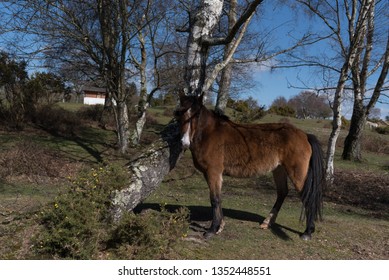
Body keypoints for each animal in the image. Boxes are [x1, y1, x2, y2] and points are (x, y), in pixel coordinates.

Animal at [174, 94, 324, 241]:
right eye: (180, 113)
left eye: (197, 114)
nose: (184, 142)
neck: (210, 133)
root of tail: (305, 135)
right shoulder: (210, 174)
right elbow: (218, 198)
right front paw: (220, 226)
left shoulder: (213, 173)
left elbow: (215, 199)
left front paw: (212, 229)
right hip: (279, 170)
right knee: (282, 192)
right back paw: (267, 222)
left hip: (297, 174)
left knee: (307, 197)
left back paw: (307, 232)